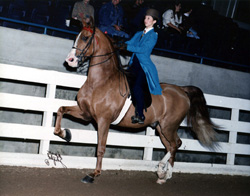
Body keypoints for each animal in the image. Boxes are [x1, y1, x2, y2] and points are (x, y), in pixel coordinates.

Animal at [53, 18, 218, 184]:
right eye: (76, 37)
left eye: (86, 38)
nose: (70, 60)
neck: (100, 81)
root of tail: (182, 90)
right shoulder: (85, 113)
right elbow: (60, 110)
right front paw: (65, 134)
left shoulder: (103, 120)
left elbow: (100, 147)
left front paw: (94, 174)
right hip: (161, 128)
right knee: (172, 145)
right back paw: (162, 174)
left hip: (168, 126)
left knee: (175, 144)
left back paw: (164, 172)